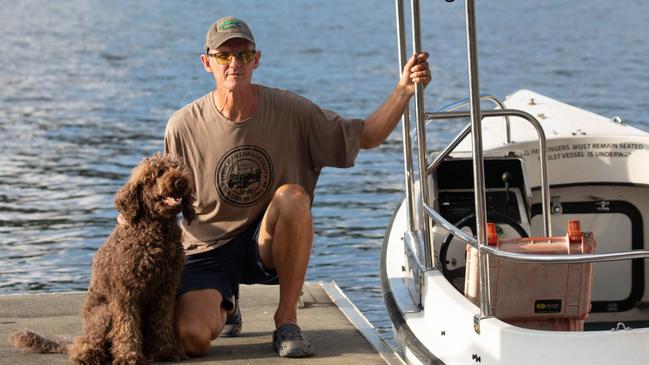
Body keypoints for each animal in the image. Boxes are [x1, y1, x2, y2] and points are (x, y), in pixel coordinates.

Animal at [9, 154, 195, 364]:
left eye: (178, 168)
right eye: (158, 173)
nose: (180, 182)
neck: (156, 232)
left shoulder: (166, 288)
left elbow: (162, 321)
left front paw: (167, 351)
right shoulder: (124, 291)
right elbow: (126, 326)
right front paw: (128, 356)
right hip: (104, 313)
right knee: (85, 344)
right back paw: (88, 354)